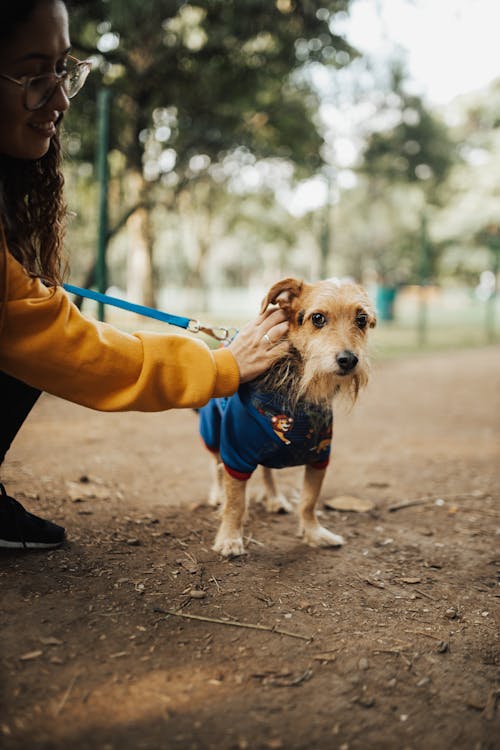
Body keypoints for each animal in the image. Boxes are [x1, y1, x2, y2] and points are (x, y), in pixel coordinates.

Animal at [198, 278, 376, 560]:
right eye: (318, 318)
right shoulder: (235, 455)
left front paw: (314, 534)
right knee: (215, 464)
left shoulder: (319, 457)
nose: (349, 360)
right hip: (213, 431)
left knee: (267, 471)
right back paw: (218, 494)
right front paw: (229, 538)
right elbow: (236, 503)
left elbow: (308, 502)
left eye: (361, 319)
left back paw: (274, 498)